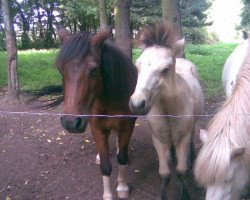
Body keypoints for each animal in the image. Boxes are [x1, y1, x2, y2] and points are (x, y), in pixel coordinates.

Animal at [56, 27, 137, 200]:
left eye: (93, 70)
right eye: (60, 69)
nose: (70, 122)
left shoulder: (127, 125)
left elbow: (121, 158)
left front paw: (122, 186)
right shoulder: (97, 128)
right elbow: (105, 166)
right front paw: (107, 194)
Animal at [130, 21, 204, 200]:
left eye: (165, 69)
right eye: (138, 65)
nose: (136, 104)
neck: (167, 110)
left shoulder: (183, 138)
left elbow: (181, 171)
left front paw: (185, 195)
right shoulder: (158, 139)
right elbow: (164, 173)